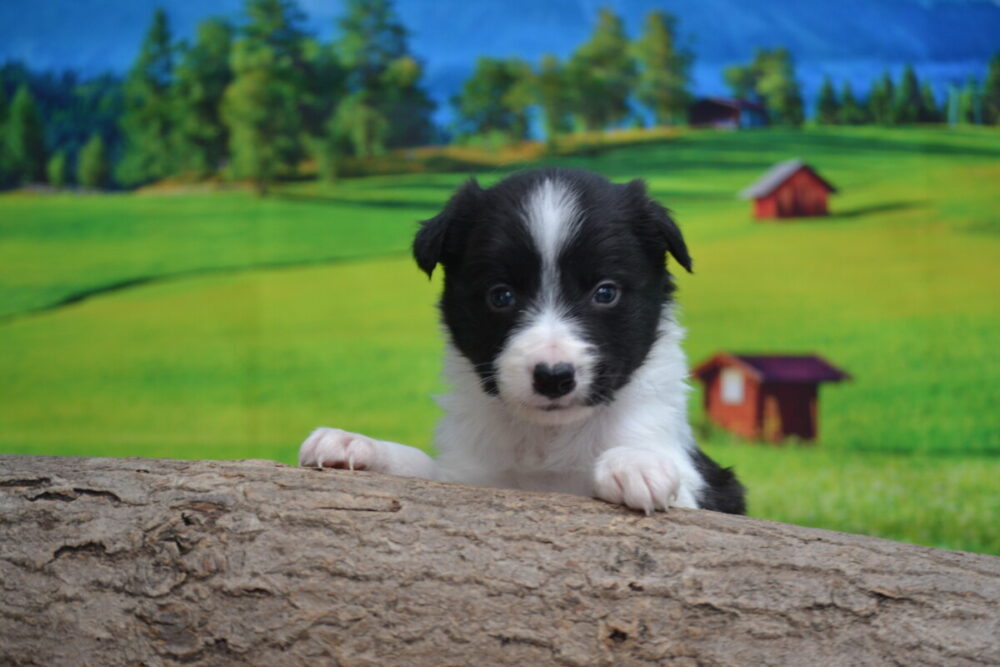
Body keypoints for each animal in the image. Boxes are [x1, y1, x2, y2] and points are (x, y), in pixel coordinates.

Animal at [299, 167, 745, 515]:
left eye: (605, 292)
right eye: (501, 296)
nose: (553, 377)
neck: (547, 439)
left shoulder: (713, 491)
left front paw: (637, 463)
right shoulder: (472, 476)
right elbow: (423, 468)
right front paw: (358, 445)